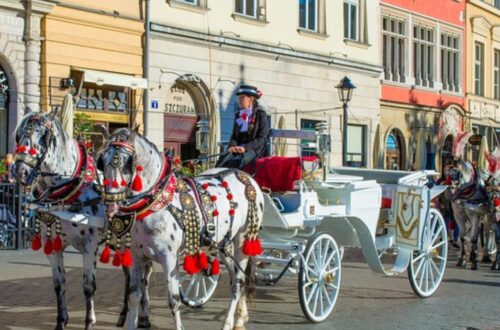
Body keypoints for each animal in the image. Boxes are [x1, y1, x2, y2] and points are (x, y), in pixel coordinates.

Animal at [13, 109, 136, 330]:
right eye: (19, 134)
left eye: (44, 136)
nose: (20, 171)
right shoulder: (52, 246)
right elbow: (59, 285)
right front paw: (61, 322)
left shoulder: (90, 246)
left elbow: (88, 286)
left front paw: (89, 322)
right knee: (128, 273)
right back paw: (123, 315)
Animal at [95, 128, 264, 330]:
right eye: (102, 161)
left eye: (128, 162)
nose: (112, 204)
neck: (155, 202)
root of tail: (247, 177)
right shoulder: (137, 256)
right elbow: (134, 295)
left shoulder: (169, 258)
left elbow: (174, 300)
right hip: (224, 245)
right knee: (236, 279)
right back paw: (240, 318)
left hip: (243, 240)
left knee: (238, 282)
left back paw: (228, 322)